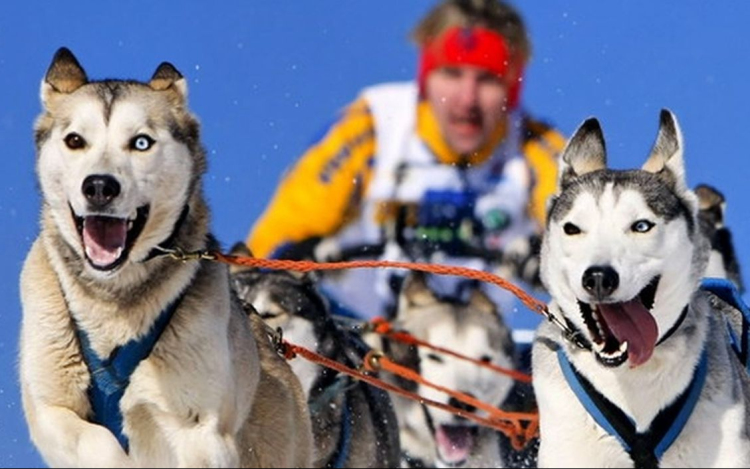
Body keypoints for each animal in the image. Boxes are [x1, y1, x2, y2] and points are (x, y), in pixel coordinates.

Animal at [19, 46, 314, 464]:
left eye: (141, 143)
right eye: (75, 140)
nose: (99, 186)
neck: (114, 301)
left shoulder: (201, 429)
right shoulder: (52, 411)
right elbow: (98, 442)